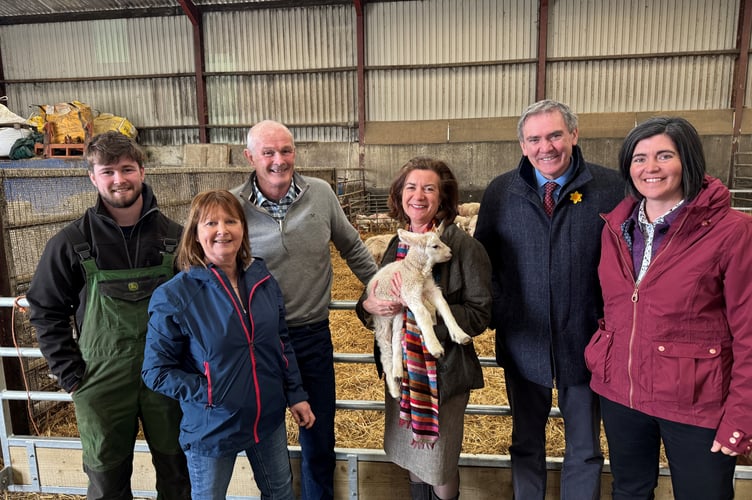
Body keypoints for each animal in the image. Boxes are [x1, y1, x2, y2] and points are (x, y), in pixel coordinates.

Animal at [368, 228, 472, 398]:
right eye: (435, 246)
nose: (450, 252)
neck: (415, 269)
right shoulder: (410, 293)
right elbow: (423, 314)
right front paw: (434, 346)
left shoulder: (431, 289)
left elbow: (444, 307)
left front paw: (460, 334)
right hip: (382, 316)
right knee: (385, 350)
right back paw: (394, 387)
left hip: (398, 311)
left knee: (396, 337)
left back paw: (398, 372)